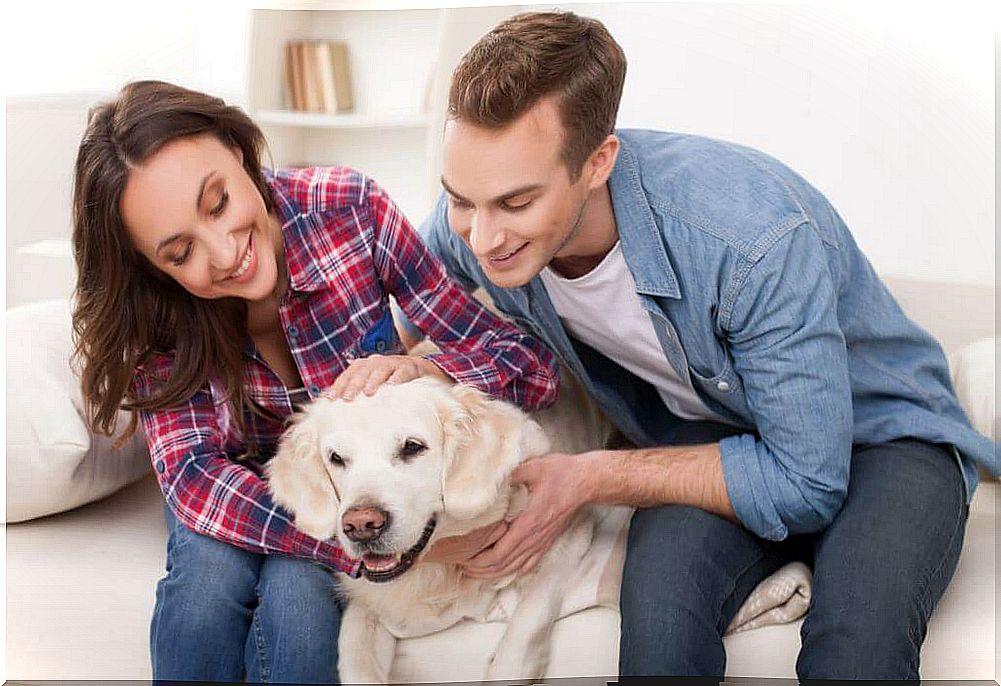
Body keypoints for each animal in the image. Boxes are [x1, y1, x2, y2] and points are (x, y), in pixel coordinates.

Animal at [266, 368, 608, 680]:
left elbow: (526, 627)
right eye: (336, 458)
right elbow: (353, 659)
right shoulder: (369, 600)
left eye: (412, 447)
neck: (439, 572)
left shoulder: (563, 529)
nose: (361, 525)